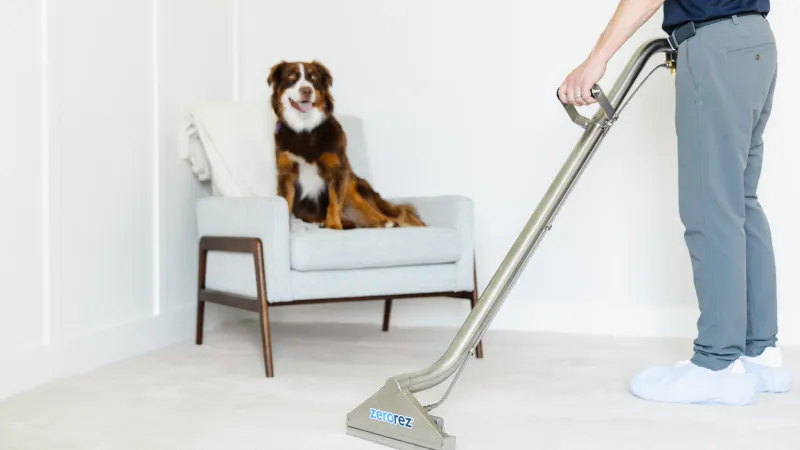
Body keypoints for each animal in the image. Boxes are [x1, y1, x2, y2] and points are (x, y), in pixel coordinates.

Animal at [266, 60, 424, 230]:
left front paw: (334, 226)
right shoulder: (286, 173)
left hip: (353, 188)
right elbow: (286, 203)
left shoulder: (338, 170)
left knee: (390, 215)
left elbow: (334, 203)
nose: (306, 90)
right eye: (291, 77)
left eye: (313, 78)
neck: (305, 129)